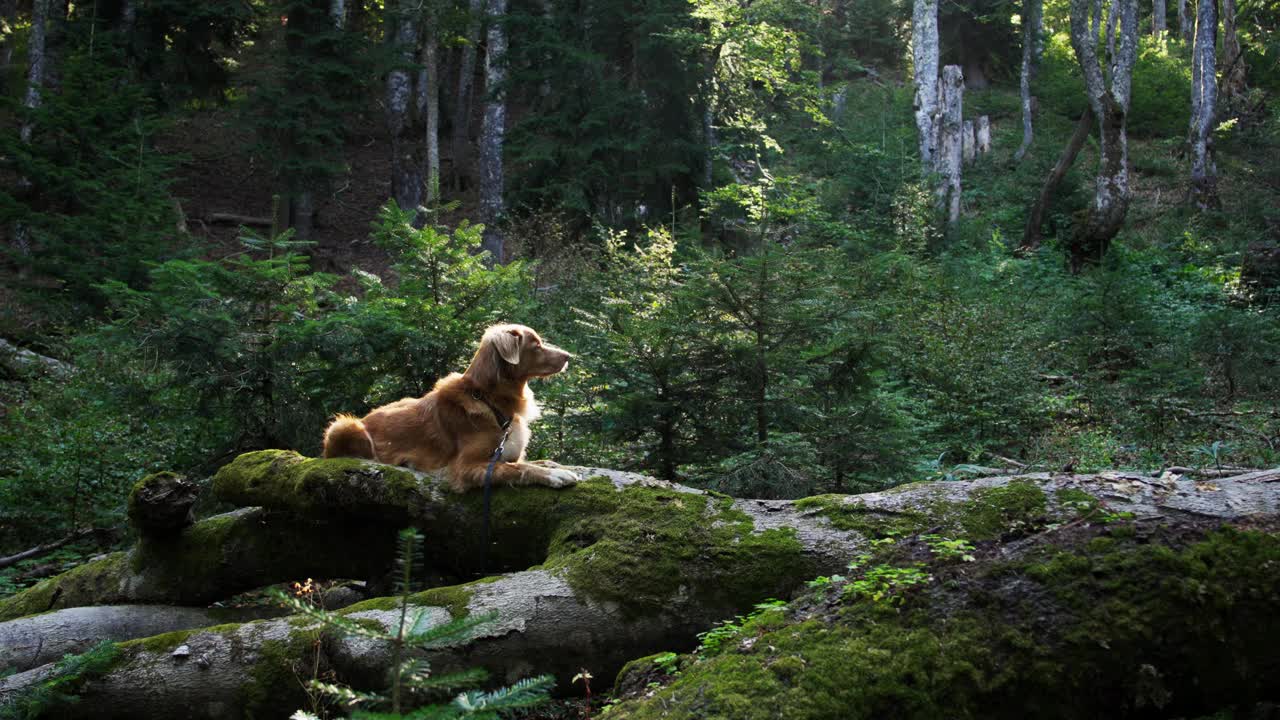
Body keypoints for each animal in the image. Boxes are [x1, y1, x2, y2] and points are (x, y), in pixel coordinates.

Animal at [320, 322, 581, 489]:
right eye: (536, 345)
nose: (569, 356)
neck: (489, 399)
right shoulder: (466, 467)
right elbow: (518, 469)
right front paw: (556, 474)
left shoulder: (506, 455)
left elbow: (531, 462)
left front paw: (554, 464)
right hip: (344, 425)